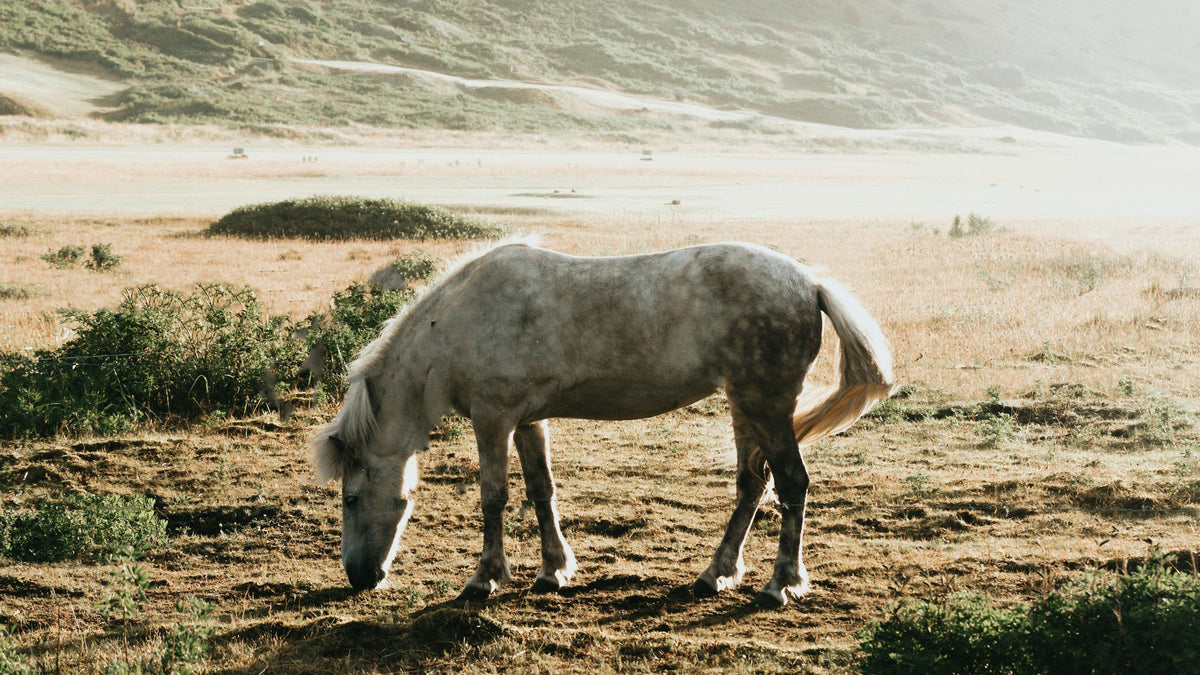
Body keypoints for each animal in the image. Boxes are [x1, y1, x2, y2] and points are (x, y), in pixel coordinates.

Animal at [310, 239, 894, 608]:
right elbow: (541, 491)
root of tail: (810, 282)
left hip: (767, 407)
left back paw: (781, 585)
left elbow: (494, 497)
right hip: (744, 406)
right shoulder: (527, 421)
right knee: (752, 486)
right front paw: (553, 571)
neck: (456, 323)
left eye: (350, 498)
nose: (359, 577)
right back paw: (714, 575)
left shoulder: (492, 419)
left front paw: (484, 579)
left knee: (792, 484)